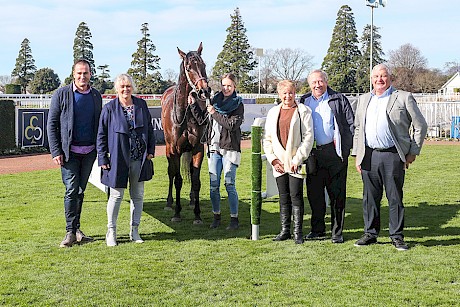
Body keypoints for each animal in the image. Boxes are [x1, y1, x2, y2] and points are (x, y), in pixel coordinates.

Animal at [161, 42, 211, 224]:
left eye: (203, 65)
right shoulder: (174, 150)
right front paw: (176, 213)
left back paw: (191, 199)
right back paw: (169, 203)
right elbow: (178, 180)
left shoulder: (197, 149)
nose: (205, 91)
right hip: (168, 150)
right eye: (189, 67)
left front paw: (197, 214)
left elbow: (195, 180)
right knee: (171, 173)